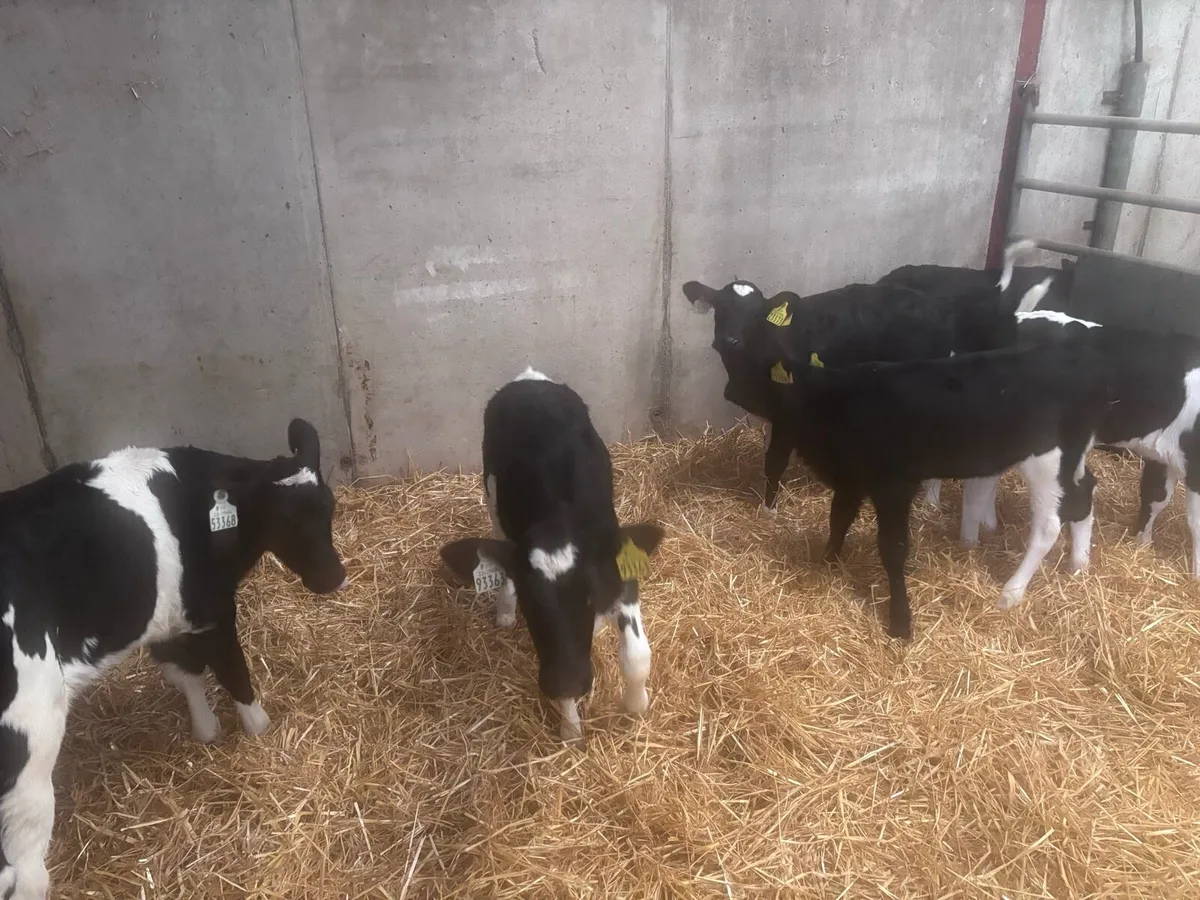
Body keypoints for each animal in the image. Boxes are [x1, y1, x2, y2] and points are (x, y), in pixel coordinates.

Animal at [0, 419, 347, 900]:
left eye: (329, 508)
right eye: (282, 521)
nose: (334, 577)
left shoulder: (167, 616)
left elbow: (184, 671)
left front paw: (206, 730)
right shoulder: (214, 610)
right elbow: (234, 675)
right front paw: (259, 731)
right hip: (30, 744)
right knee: (25, 869)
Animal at [439, 369, 666, 743]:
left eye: (588, 596)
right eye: (532, 605)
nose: (568, 681)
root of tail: (530, 380)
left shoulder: (617, 564)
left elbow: (636, 657)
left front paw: (637, 704)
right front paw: (570, 728)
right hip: (492, 498)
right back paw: (504, 610)